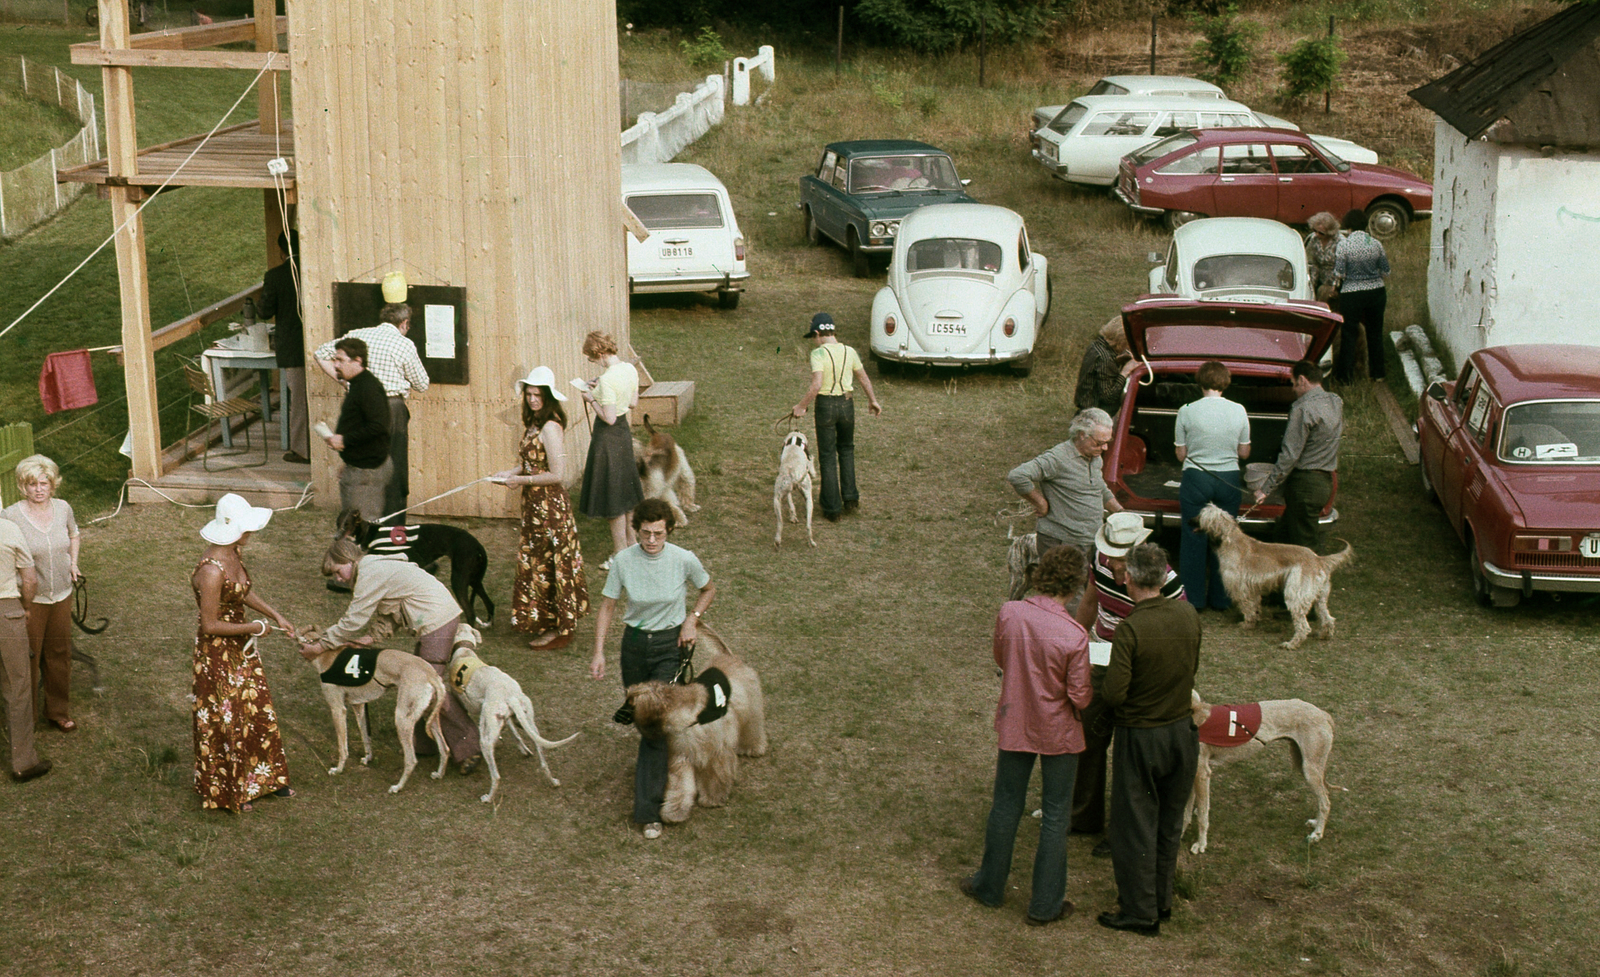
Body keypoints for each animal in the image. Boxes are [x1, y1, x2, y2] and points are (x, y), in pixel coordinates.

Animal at [334, 511, 489, 626]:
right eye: (338, 523)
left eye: (346, 524)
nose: (335, 538)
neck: (371, 533)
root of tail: (477, 545)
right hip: (474, 580)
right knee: (490, 605)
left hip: (459, 579)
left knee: (471, 613)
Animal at [448, 626, 579, 802]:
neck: (464, 650)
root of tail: (510, 695)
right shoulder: (509, 718)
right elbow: (516, 735)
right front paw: (524, 750)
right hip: (528, 723)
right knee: (543, 762)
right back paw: (553, 782)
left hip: (486, 740)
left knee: (496, 776)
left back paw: (488, 798)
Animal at [620, 623, 764, 818]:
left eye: (629, 702)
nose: (616, 716)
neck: (684, 714)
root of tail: (727, 655)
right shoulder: (681, 754)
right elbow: (681, 785)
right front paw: (675, 810)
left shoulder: (716, 751)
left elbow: (715, 776)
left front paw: (712, 798)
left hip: (751, 706)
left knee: (753, 728)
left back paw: (753, 747)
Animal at [1184, 687, 1344, 857]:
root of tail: (1323, 714)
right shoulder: (1193, 773)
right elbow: (1187, 810)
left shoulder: (1202, 774)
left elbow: (1202, 815)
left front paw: (1201, 844)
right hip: (1302, 763)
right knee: (1325, 795)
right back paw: (1316, 823)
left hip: (1310, 769)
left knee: (1325, 802)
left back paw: (1317, 834)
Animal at [1190, 505, 1350, 649]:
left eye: (1200, 516)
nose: (1189, 521)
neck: (1230, 541)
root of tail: (1318, 559)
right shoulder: (1252, 588)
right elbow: (1254, 606)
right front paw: (1254, 620)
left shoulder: (1242, 587)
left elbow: (1247, 608)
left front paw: (1247, 624)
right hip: (1319, 597)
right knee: (1328, 619)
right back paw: (1324, 635)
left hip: (1296, 595)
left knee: (1304, 627)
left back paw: (1291, 644)